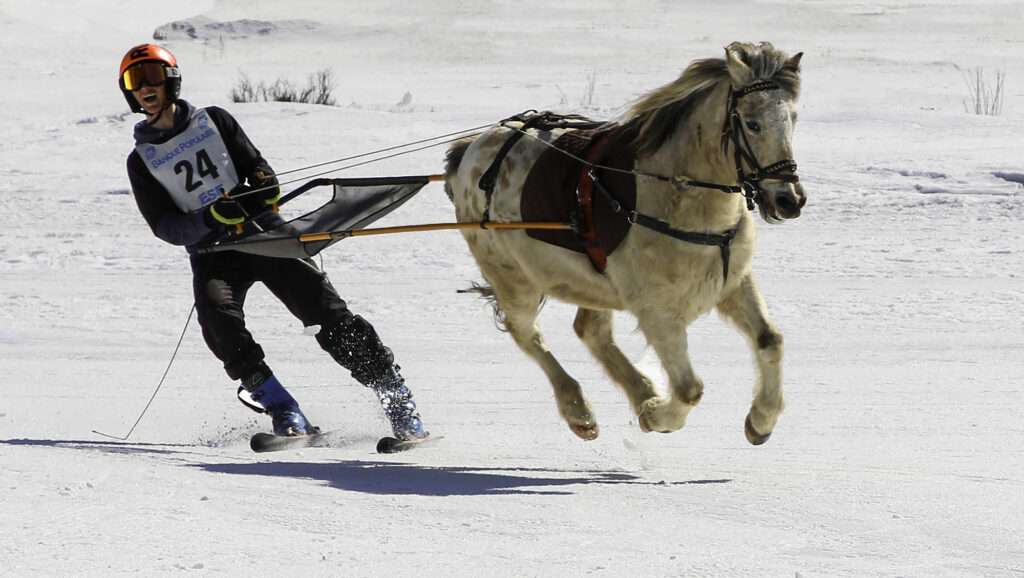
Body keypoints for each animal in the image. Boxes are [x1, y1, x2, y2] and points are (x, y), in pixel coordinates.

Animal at [444, 42, 802, 444]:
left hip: (591, 282)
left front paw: (761, 420)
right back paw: (580, 411)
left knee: (590, 330)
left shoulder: (734, 283)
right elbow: (689, 389)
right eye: (753, 123)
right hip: (511, 278)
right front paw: (659, 415)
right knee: (526, 334)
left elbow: (770, 340)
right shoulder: (657, 313)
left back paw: (641, 391)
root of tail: (470, 150)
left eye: (793, 118)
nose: (789, 199)